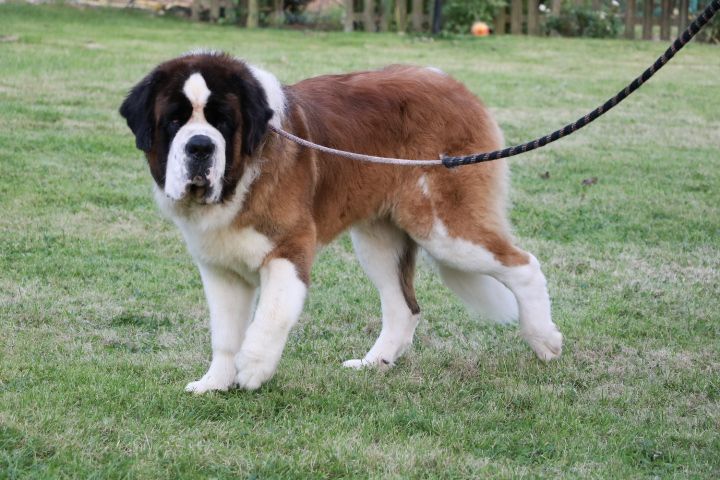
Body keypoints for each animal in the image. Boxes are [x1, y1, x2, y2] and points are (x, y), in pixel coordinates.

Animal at [119, 51, 563, 392]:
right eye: (174, 121)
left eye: (222, 121)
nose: (199, 146)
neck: (240, 176)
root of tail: (451, 84)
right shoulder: (221, 269)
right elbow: (225, 333)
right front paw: (214, 383)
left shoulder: (289, 249)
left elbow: (270, 317)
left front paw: (253, 367)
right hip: (379, 241)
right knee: (403, 306)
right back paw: (375, 364)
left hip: (444, 228)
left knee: (524, 265)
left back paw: (544, 340)